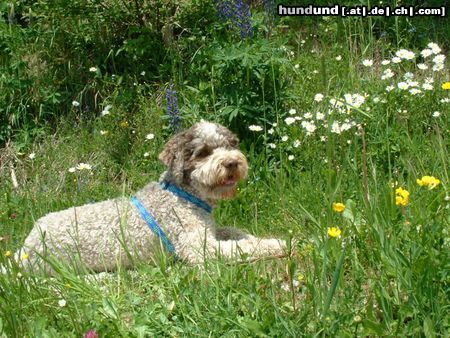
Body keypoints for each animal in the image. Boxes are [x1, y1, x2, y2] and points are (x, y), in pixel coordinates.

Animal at [17, 120, 286, 274]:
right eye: (203, 152)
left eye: (231, 145)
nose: (232, 162)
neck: (183, 196)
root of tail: (24, 246)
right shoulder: (199, 248)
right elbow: (245, 247)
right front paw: (280, 244)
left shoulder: (211, 231)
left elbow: (236, 233)